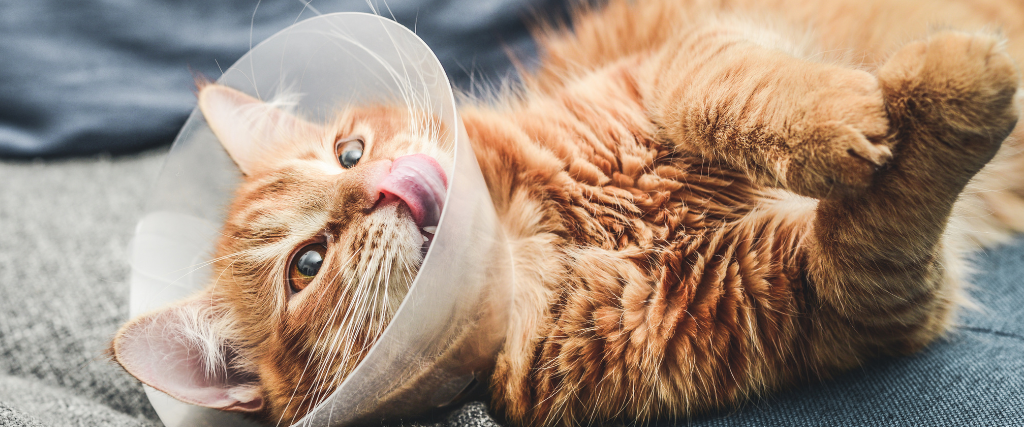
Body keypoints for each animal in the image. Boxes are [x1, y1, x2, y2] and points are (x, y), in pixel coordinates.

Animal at [110, 0, 1024, 423]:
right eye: (307, 263)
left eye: (348, 152)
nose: (381, 182)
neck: (547, 234)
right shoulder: (840, 292)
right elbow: (887, 211)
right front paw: (954, 84)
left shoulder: (680, 55)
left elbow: (722, 90)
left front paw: (851, 112)